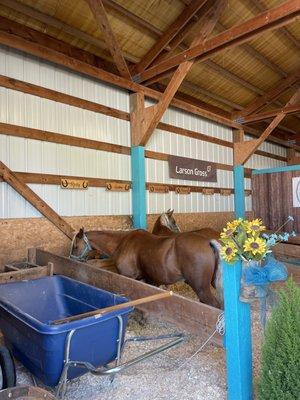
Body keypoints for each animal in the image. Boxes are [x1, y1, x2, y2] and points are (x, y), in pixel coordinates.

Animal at [69, 227, 221, 308]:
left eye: (75, 246)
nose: (71, 259)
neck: (122, 243)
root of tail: (207, 242)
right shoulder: (148, 280)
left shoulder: (129, 278)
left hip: (201, 288)